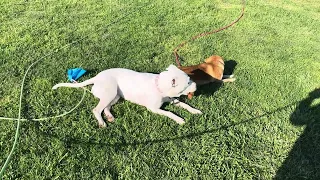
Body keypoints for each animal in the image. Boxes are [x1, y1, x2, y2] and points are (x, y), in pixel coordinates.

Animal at [52, 64, 202, 127]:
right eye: (188, 82)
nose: (196, 85)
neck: (159, 87)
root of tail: (96, 77)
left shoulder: (172, 99)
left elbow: (184, 104)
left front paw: (195, 111)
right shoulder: (153, 109)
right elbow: (169, 113)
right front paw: (179, 119)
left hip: (116, 95)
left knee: (106, 108)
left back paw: (110, 116)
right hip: (110, 92)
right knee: (96, 109)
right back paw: (102, 122)